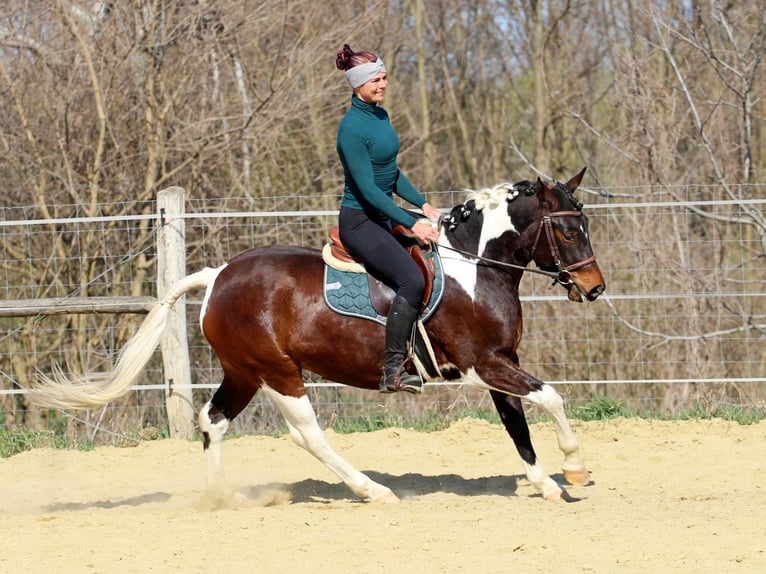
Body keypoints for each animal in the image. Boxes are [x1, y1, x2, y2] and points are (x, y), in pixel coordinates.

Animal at [30, 167, 605, 502]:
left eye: (584, 226)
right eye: (568, 230)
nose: (594, 288)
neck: (475, 267)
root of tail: (216, 276)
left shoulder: (499, 361)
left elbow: (517, 425)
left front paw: (544, 483)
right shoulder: (482, 364)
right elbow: (550, 399)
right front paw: (575, 469)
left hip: (244, 372)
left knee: (213, 420)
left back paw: (220, 499)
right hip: (278, 371)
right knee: (306, 434)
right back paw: (371, 490)